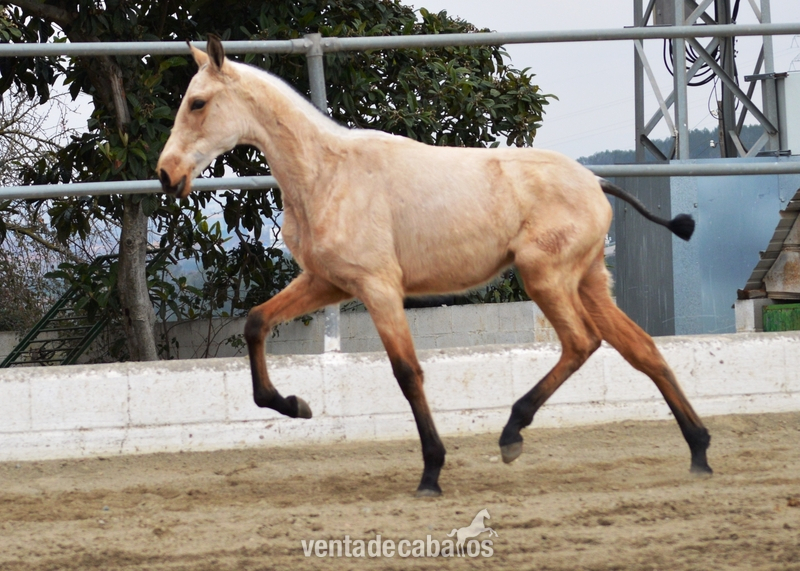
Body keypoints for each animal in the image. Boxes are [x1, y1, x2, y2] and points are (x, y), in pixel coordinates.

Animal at [157, 35, 712, 497]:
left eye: (198, 103)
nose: (166, 174)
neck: (328, 173)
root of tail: (596, 182)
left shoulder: (378, 287)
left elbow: (407, 372)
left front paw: (431, 472)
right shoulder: (327, 283)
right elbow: (255, 323)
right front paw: (296, 405)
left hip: (546, 278)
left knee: (581, 343)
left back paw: (512, 434)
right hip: (589, 282)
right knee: (642, 350)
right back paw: (699, 452)